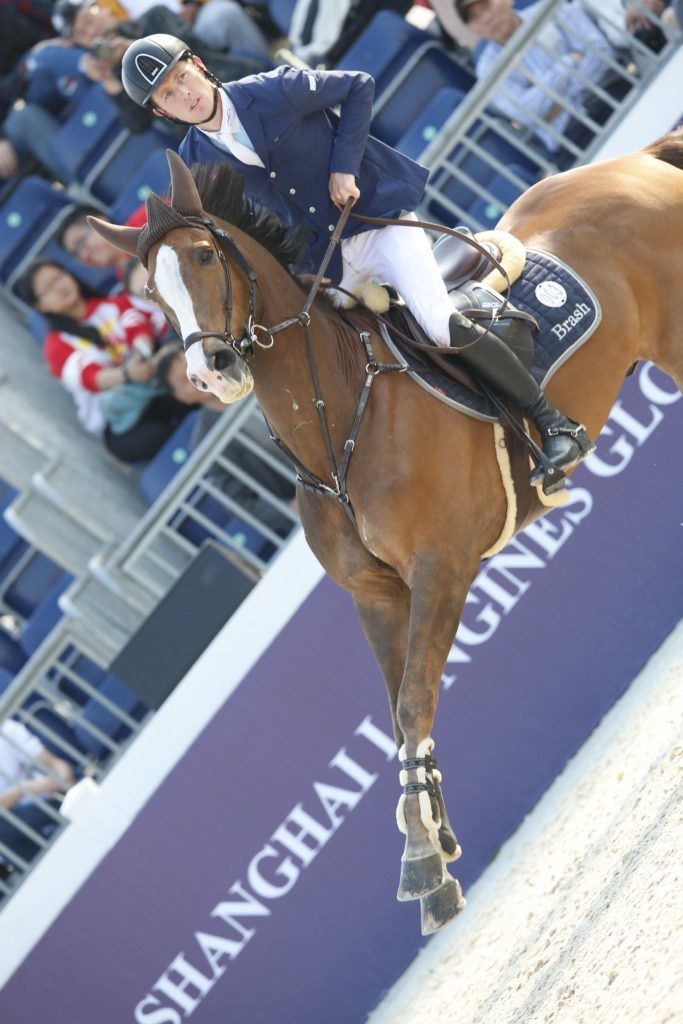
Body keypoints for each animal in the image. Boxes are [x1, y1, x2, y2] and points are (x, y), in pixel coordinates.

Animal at [92, 132, 683, 933]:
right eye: (152, 294)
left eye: (208, 257)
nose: (210, 372)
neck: (337, 424)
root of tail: (634, 160)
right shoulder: (376, 595)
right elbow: (401, 717)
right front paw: (435, 847)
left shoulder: (441, 571)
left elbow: (411, 702)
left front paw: (421, 858)